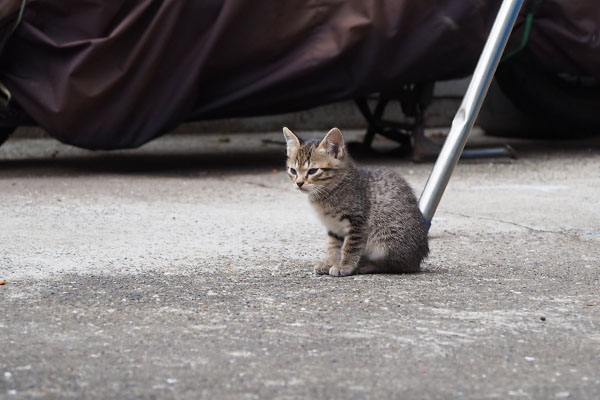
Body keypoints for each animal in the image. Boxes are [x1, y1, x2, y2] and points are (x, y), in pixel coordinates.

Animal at [284, 127, 428, 276]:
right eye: (293, 171)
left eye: (313, 171)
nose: (299, 183)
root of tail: (418, 258)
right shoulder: (334, 227)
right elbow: (333, 246)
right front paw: (330, 262)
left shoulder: (358, 222)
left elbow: (350, 246)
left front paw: (344, 266)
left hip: (385, 242)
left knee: (394, 265)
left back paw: (366, 265)